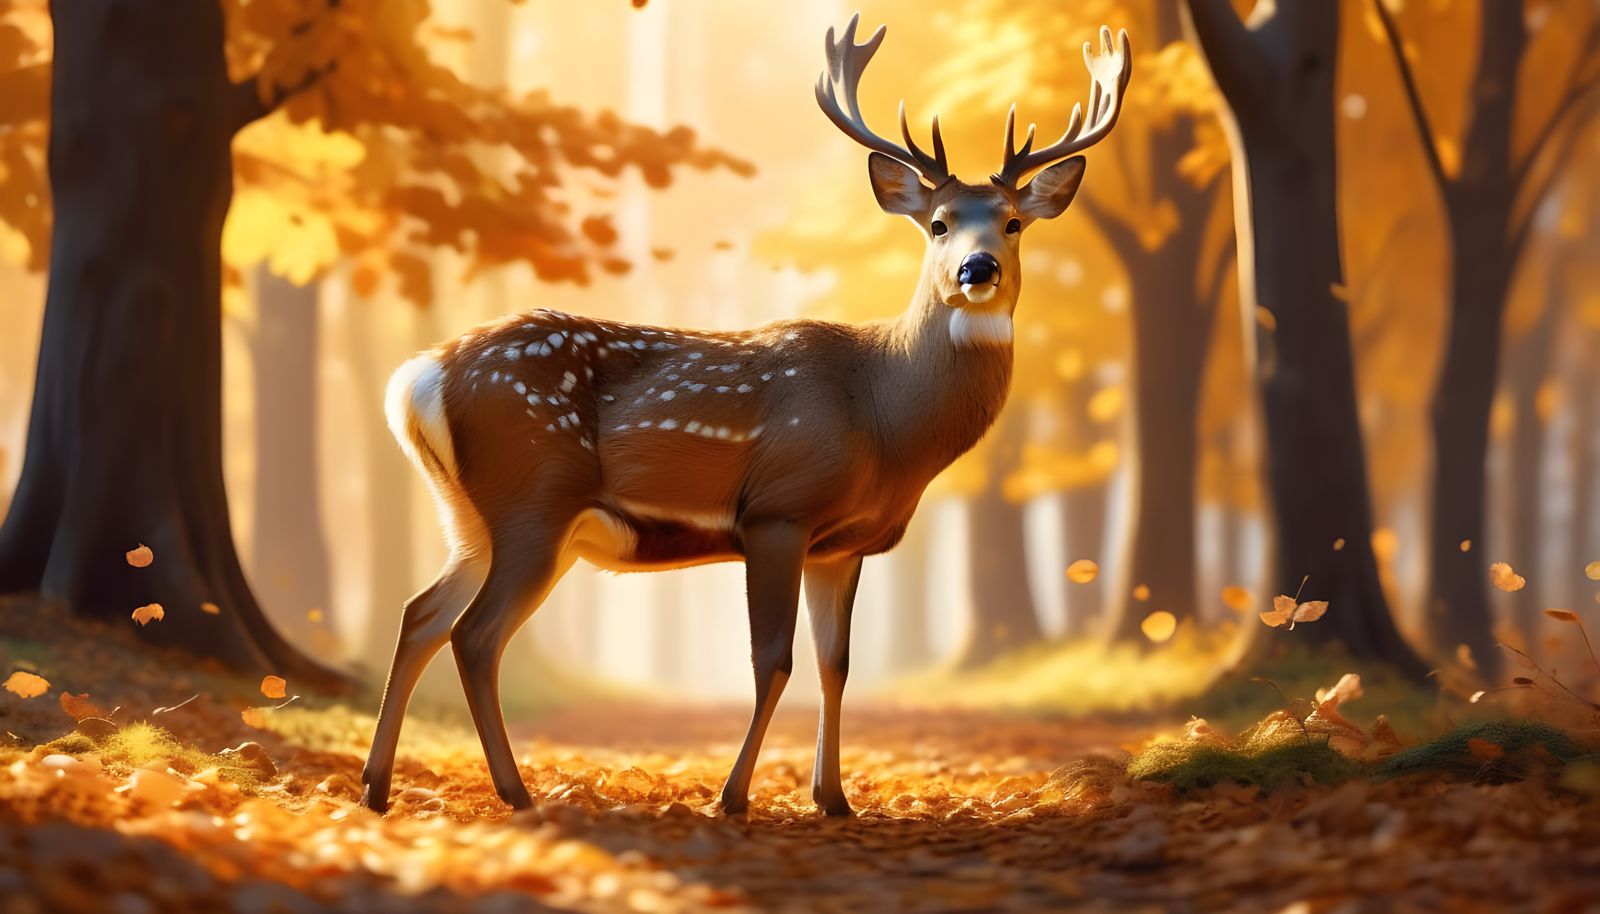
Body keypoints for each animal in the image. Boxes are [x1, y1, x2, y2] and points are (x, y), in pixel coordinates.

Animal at [360, 13, 1130, 817]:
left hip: (471, 514)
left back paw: (377, 786)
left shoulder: (842, 545)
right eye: (939, 224)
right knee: (474, 634)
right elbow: (774, 660)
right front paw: (733, 798)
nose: (977, 270)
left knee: (421, 614)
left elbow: (835, 664)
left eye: (1012, 223)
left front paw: (834, 798)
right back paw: (515, 792)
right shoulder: (778, 509)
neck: (884, 418)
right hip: (532, 498)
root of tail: (421, 374)